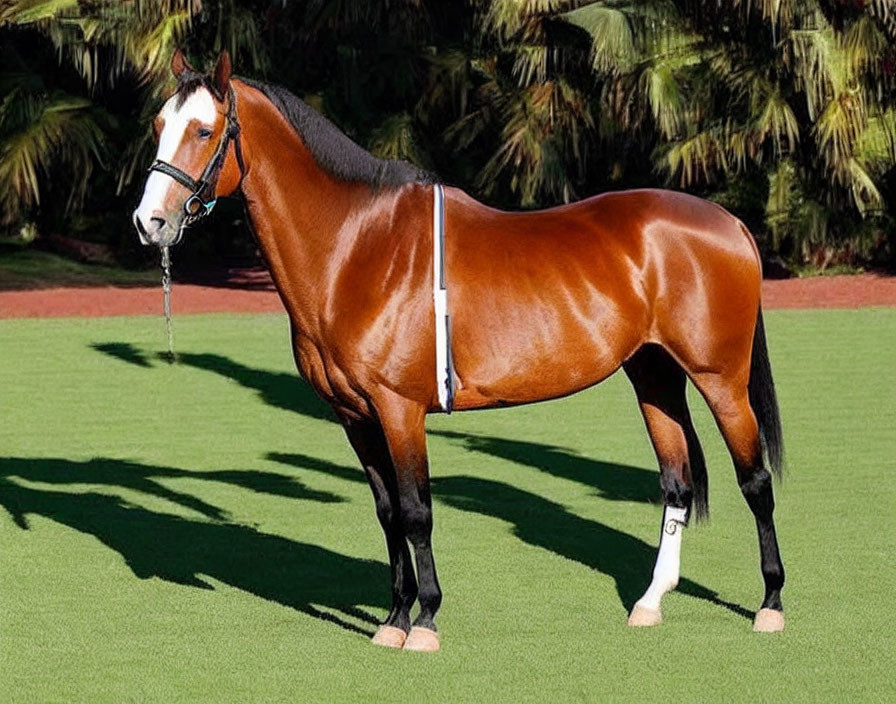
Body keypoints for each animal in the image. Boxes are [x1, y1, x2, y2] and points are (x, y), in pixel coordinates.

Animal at [131, 52, 784, 652]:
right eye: (160, 123)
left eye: (204, 130)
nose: (148, 221)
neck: (356, 247)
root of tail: (730, 223)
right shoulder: (355, 415)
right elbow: (388, 513)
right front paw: (393, 620)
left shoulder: (399, 409)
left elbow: (417, 511)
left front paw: (424, 621)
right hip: (653, 374)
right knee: (676, 483)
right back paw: (649, 603)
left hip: (721, 379)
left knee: (755, 480)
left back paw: (771, 605)